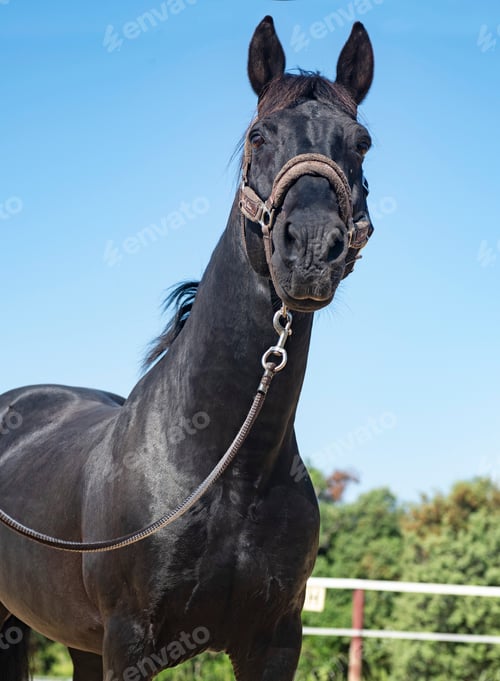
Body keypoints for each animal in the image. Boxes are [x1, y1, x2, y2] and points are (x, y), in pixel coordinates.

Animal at [0, 16, 374, 681]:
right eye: (258, 134)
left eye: (361, 142)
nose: (309, 248)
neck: (224, 463)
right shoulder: (131, 642)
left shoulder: (275, 640)